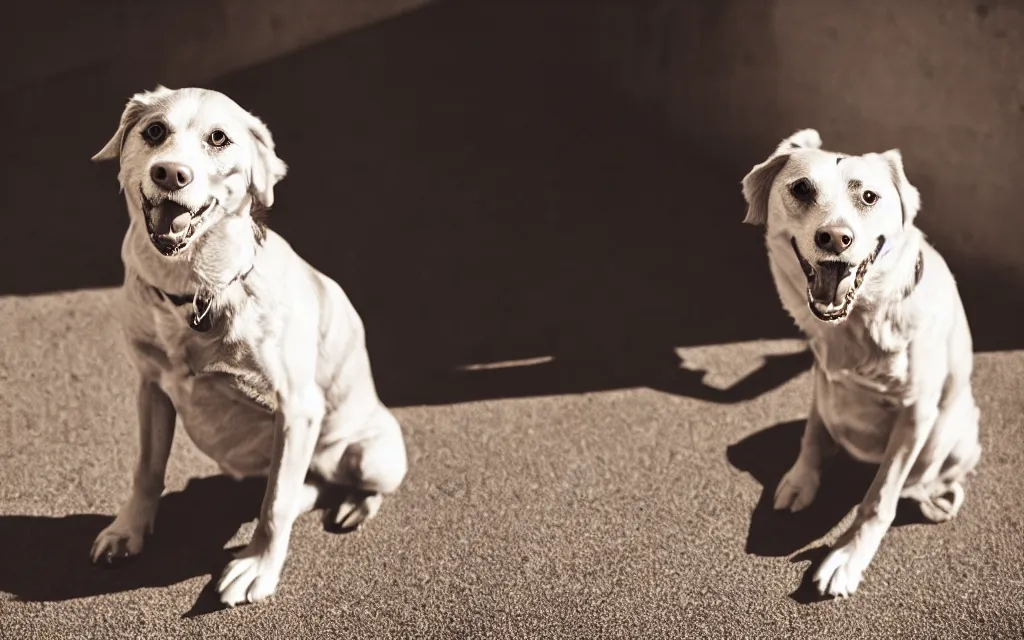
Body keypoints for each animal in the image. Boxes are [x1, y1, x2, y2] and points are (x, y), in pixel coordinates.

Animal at [89, 86, 407, 602]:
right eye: (154, 130)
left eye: (219, 138)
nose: (171, 173)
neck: (195, 290)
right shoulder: (151, 387)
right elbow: (146, 470)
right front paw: (128, 529)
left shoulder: (297, 410)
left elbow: (274, 504)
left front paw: (258, 565)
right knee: (310, 487)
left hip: (369, 455)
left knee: (341, 485)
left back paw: (354, 506)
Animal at [745, 127, 983, 598]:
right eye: (801, 188)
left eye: (869, 197)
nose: (836, 238)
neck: (857, 322)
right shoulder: (821, 377)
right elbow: (812, 434)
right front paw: (802, 479)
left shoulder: (916, 414)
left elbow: (878, 498)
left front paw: (848, 556)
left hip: (953, 431)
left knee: (929, 477)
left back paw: (933, 495)